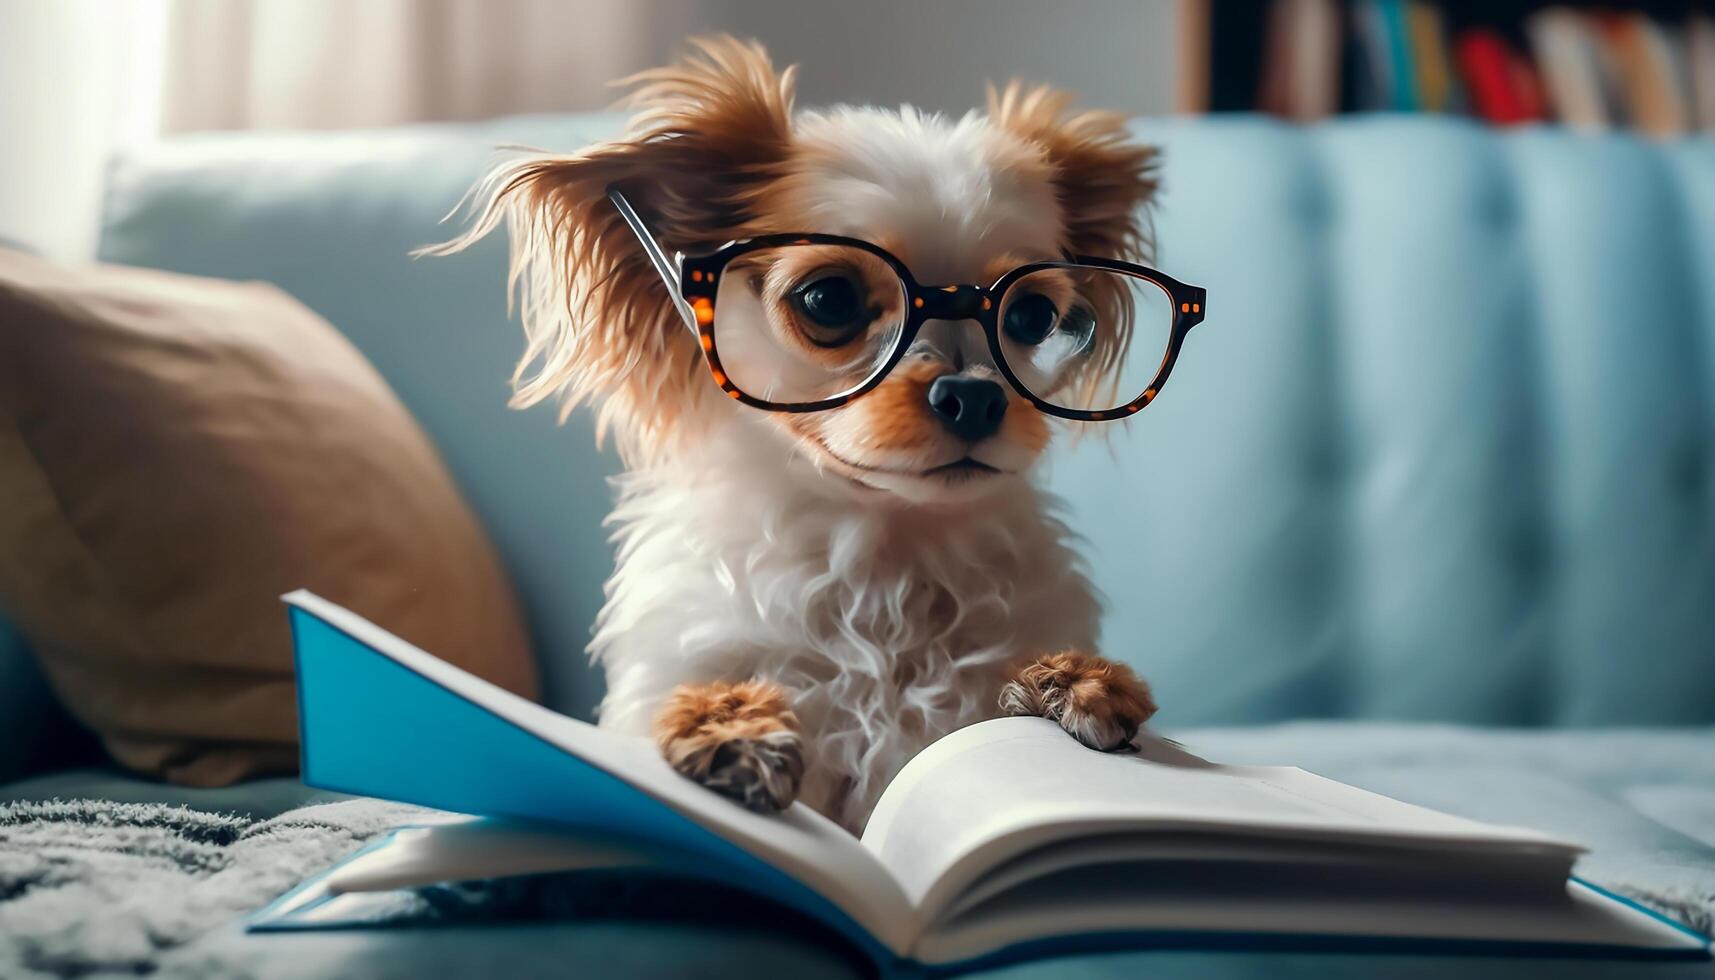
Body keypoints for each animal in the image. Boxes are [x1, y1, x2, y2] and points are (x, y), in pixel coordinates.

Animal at [442, 38, 1166, 837]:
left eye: (1032, 315)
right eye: (829, 299)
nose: (974, 395)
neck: (881, 567)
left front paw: (1069, 684)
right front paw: (731, 728)